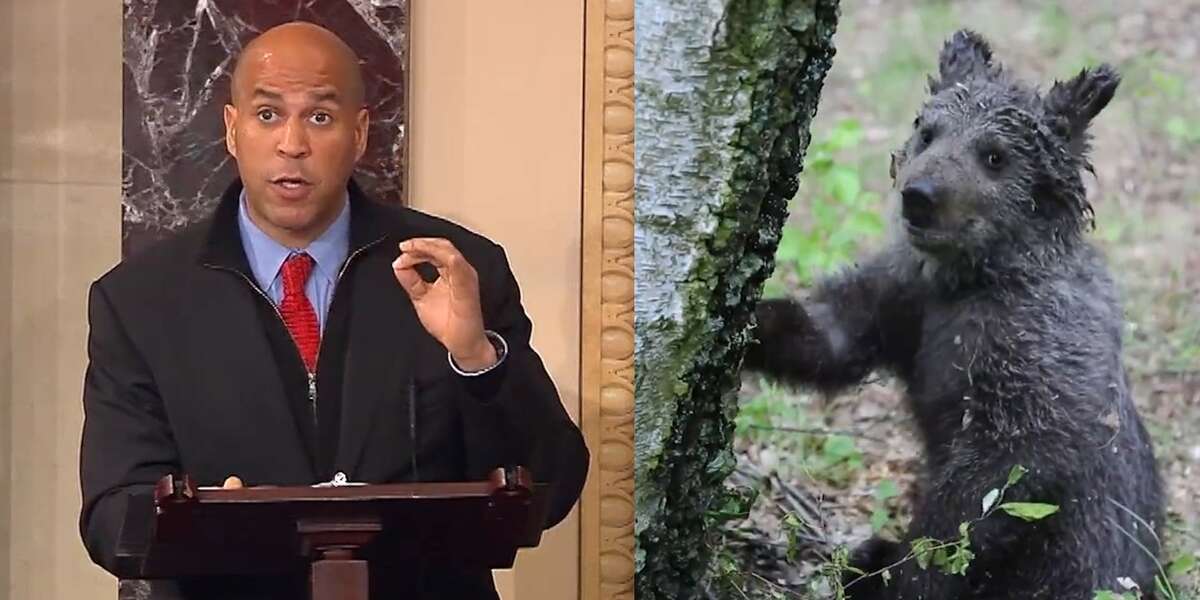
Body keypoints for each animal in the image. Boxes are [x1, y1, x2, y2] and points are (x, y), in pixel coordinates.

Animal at [743, 29, 1165, 599]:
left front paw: (894, 571)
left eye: (994, 155)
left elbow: (991, 485)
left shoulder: (1037, 360)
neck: (971, 280)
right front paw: (750, 326)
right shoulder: (906, 301)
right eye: (928, 131)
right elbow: (832, 338)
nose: (919, 196)